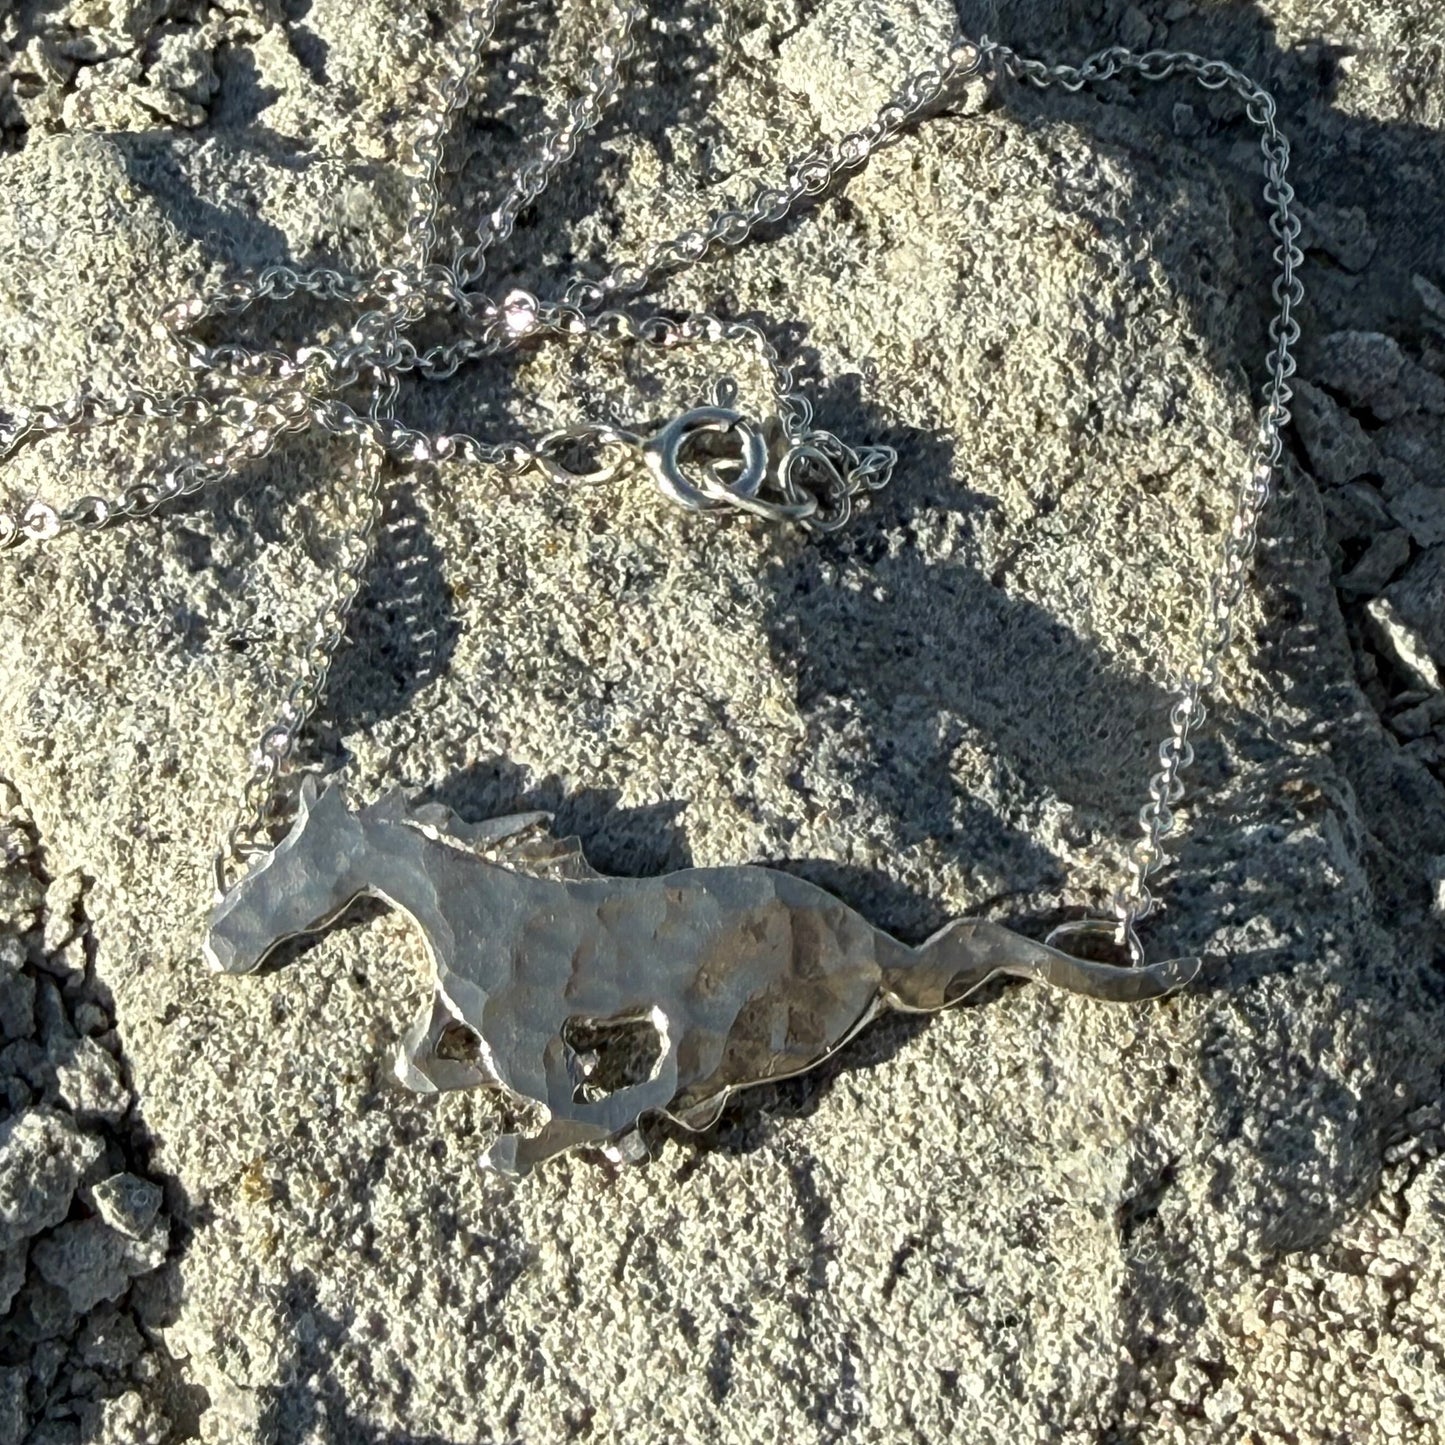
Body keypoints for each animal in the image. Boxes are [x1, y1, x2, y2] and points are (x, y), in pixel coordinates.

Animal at [205, 777, 1198, 1174]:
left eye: (286, 858)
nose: (219, 941)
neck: (467, 899)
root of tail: (876, 948)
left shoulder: (521, 1023)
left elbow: (541, 1080)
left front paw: (565, 1115)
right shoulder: (469, 1011)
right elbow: (422, 1062)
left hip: (708, 1006)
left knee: (680, 1080)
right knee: (691, 1089)